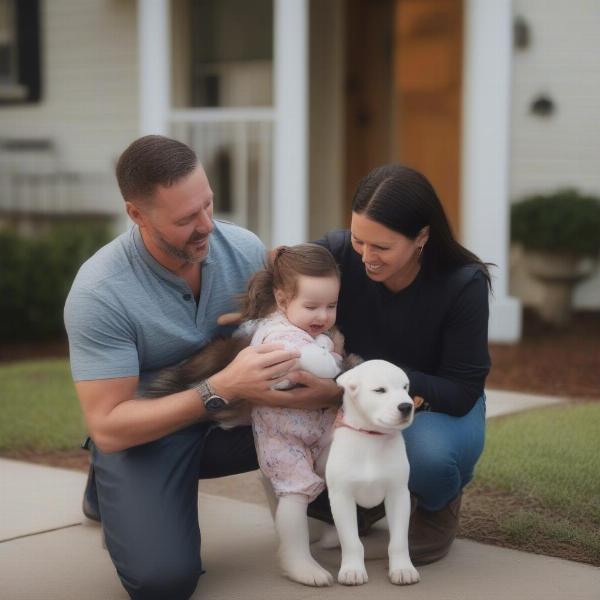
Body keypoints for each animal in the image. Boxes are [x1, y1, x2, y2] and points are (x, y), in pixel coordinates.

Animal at [326, 360, 420, 584]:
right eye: (380, 390)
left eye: (405, 387)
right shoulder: (341, 497)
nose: (407, 406)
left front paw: (402, 568)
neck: (371, 438)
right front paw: (352, 570)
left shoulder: (398, 494)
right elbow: (351, 541)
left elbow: (399, 540)